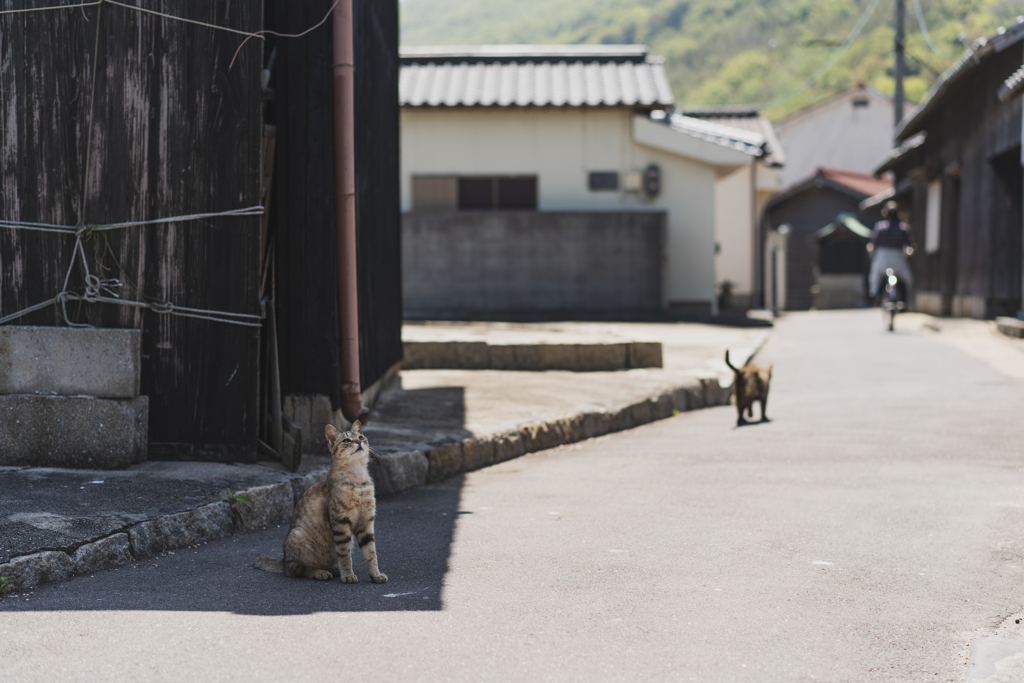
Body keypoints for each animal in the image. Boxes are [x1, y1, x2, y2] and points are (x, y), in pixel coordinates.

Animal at [253, 419, 385, 585]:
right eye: (346, 440)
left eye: (361, 437)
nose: (358, 442)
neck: (358, 480)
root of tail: (284, 561)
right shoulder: (340, 523)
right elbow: (345, 554)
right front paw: (348, 575)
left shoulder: (366, 522)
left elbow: (371, 553)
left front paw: (376, 574)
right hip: (299, 537)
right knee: (300, 570)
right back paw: (320, 573)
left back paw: (332, 569)